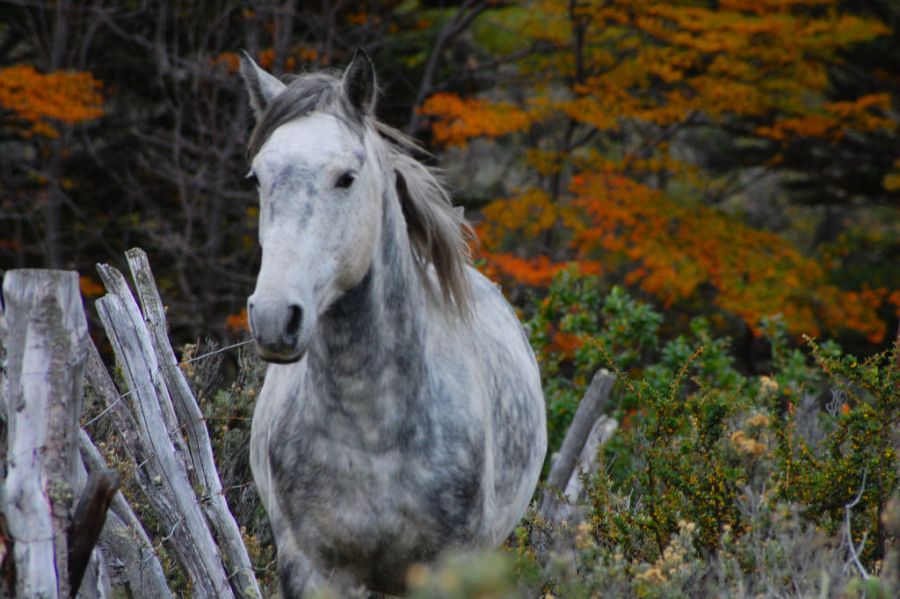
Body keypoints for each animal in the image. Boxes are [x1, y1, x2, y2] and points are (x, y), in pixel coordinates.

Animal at [239, 51, 544, 599]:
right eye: (257, 177)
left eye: (346, 177)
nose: (274, 317)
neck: (371, 434)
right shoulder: (311, 568)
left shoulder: (447, 567)